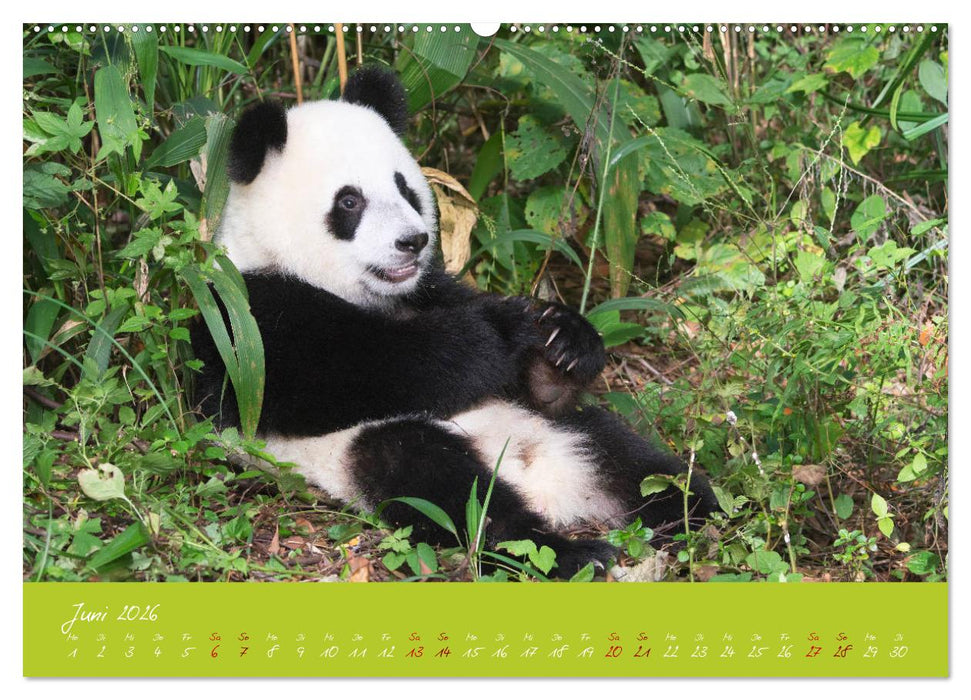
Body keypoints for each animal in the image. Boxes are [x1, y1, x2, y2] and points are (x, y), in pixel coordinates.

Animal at [191, 66, 718, 577]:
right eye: (349, 202)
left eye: (405, 187)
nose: (413, 241)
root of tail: (547, 482)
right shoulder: (246, 319)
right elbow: (354, 375)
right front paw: (499, 334)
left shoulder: (431, 290)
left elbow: (531, 376)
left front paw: (563, 342)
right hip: (359, 451)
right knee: (448, 488)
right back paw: (568, 552)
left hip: (569, 430)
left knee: (633, 460)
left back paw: (701, 513)